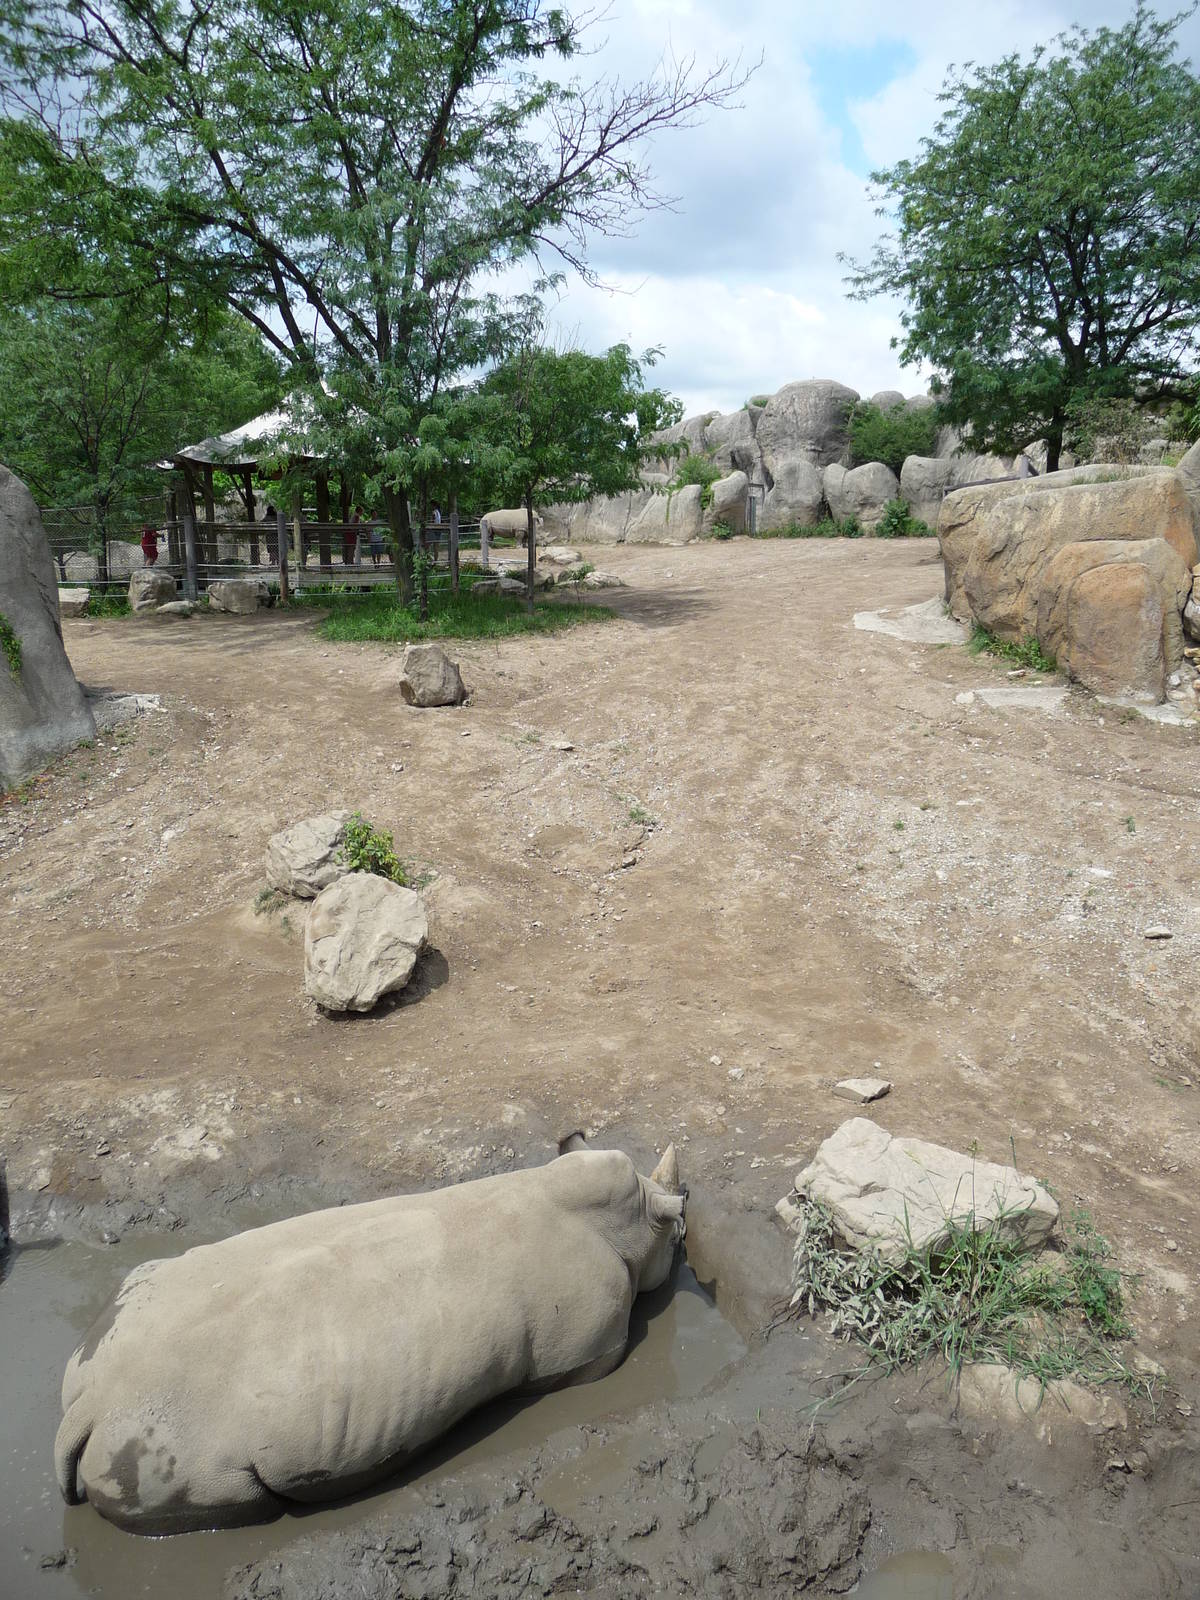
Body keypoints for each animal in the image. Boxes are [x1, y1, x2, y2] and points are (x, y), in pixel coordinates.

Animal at [54, 1138, 685, 1535]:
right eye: (679, 1238)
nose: (684, 1252)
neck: (627, 1224)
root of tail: (88, 1408)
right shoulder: (590, 1344)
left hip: (117, 1333)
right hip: (176, 1447)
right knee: (237, 1500)